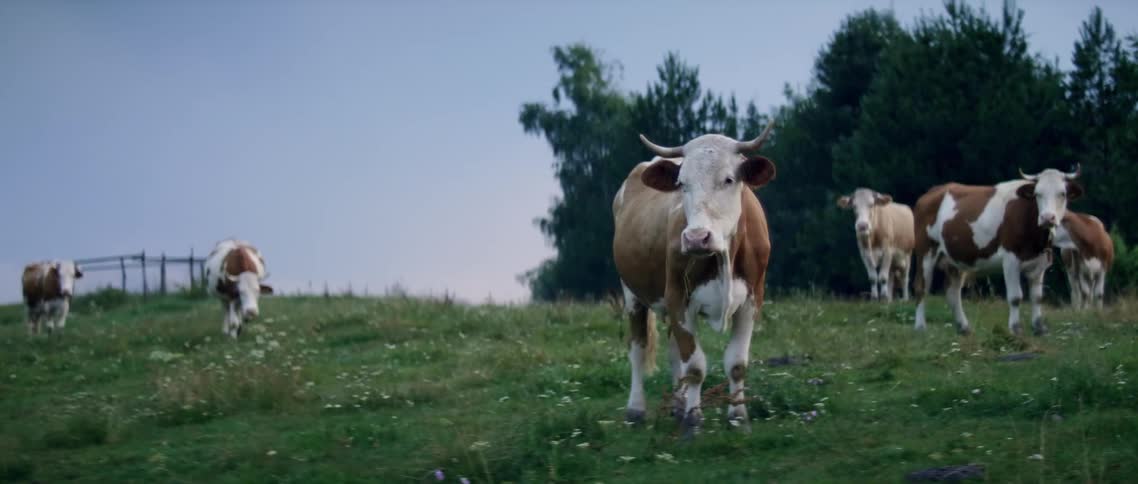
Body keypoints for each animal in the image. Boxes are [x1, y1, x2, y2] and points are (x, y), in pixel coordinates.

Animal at [613, 121, 776, 438]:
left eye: (728, 179)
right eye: (682, 183)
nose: (696, 238)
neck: (722, 256)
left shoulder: (752, 299)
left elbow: (736, 363)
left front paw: (739, 418)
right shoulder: (679, 297)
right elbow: (696, 367)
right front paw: (693, 421)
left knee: (673, 351)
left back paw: (677, 405)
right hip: (632, 294)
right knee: (638, 350)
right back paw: (636, 410)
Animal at [913, 166, 1083, 336]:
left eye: (1062, 194)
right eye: (1037, 194)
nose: (1047, 218)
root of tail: (933, 191)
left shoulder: (1040, 262)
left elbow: (1037, 297)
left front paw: (1038, 328)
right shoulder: (1010, 259)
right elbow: (1015, 297)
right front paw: (1015, 328)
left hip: (955, 261)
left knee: (953, 293)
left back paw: (964, 327)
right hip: (926, 252)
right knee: (921, 287)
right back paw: (920, 326)